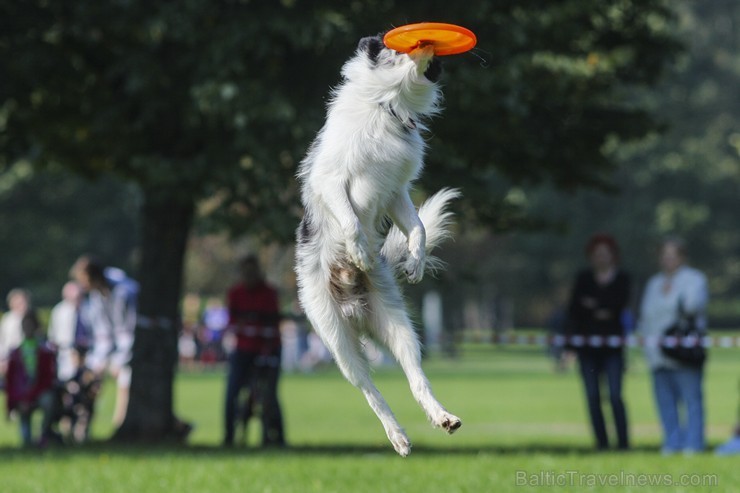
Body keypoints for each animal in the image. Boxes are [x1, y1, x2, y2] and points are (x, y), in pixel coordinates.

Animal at [296, 35, 462, 458]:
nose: (430, 48)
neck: (388, 106)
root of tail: (354, 308)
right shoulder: (331, 180)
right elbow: (350, 219)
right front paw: (359, 251)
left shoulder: (397, 192)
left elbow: (418, 227)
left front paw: (416, 261)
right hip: (336, 340)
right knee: (371, 392)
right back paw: (397, 435)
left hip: (399, 327)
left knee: (416, 377)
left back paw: (442, 417)